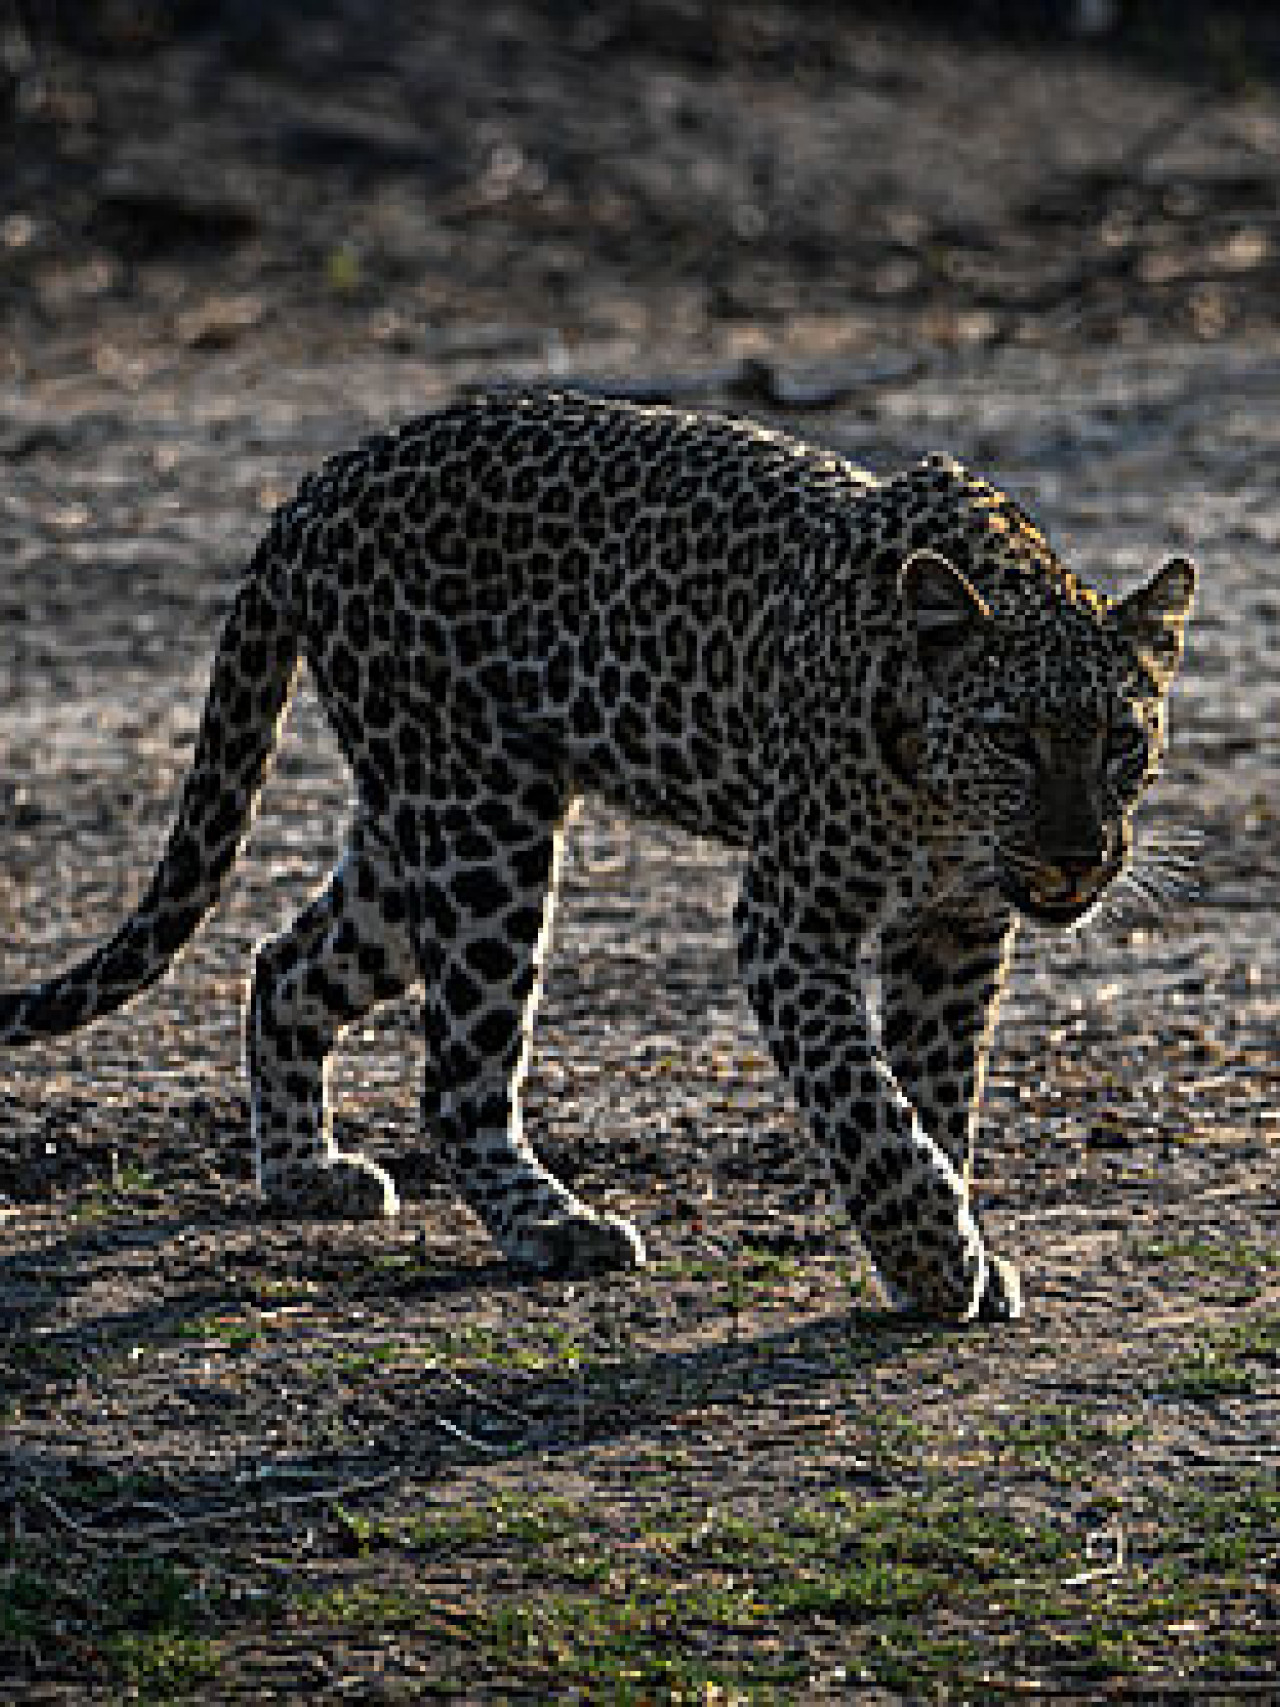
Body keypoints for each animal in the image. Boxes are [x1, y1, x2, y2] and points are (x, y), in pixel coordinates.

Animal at [0, 388, 1196, 1321]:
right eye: (1011, 737)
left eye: (1121, 741)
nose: (1078, 856)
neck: (945, 810)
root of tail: (321, 483)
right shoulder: (787, 919)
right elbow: (861, 1096)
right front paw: (933, 1256)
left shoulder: (956, 932)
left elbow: (934, 1099)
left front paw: (943, 1250)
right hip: (480, 829)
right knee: (458, 1079)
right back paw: (554, 1228)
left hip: (420, 822)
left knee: (286, 962)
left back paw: (306, 1172)